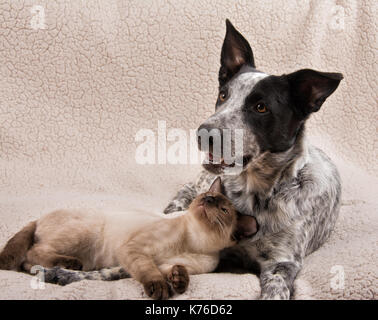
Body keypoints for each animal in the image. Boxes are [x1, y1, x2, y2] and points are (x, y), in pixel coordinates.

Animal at [0, 178, 256, 300]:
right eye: (206, 195)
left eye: (223, 210)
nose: (209, 200)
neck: (194, 241)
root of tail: (39, 217)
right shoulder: (136, 250)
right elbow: (150, 273)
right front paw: (160, 290)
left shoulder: (166, 264)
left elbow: (178, 271)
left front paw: (178, 281)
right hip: (85, 232)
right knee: (34, 251)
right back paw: (69, 263)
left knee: (28, 261)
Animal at [164, 20, 344, 300]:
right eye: (223, 95)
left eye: (261, 107)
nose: (204, 133)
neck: (255, 193)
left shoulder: (282, 262)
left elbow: (276, 289)